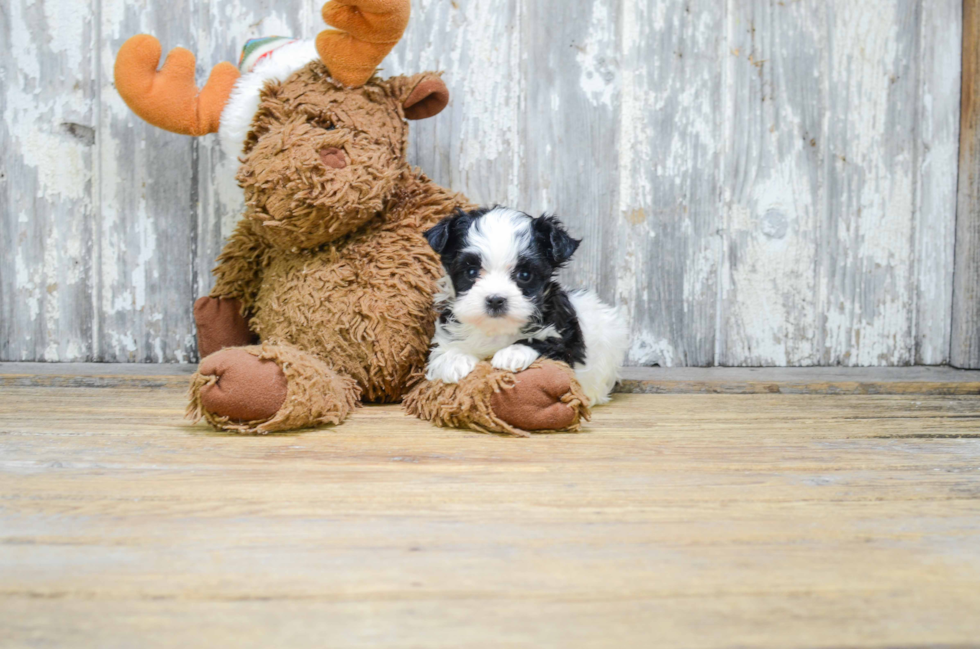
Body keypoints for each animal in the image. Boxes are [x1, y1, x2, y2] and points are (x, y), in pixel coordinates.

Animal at [424, 205, 628, 402]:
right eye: (471, 272)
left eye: (524, 275)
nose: (495, 299)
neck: (496, 330)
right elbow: (444, 349)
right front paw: (454, 361)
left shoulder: (563, 341)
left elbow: (545, 343)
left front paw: (513, 352)